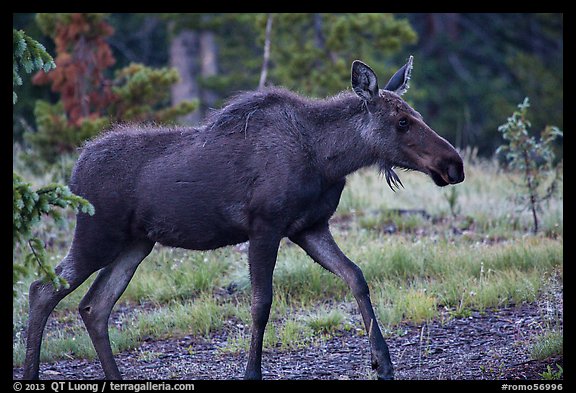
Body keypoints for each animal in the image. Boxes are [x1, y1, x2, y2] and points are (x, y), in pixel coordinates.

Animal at [23, 56, 464, 380]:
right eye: (402, 121)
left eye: (416, 113)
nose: (454, 164)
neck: (327, 158)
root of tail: (74, 170)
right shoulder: (265, 226)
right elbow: (260, 303)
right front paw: (252, 372)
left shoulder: (309, 227)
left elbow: (356, 276)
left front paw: (383, 363)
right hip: (97, 235)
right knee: (43, 288)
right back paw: (31, 372)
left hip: (136, 243)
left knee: (94, 306)